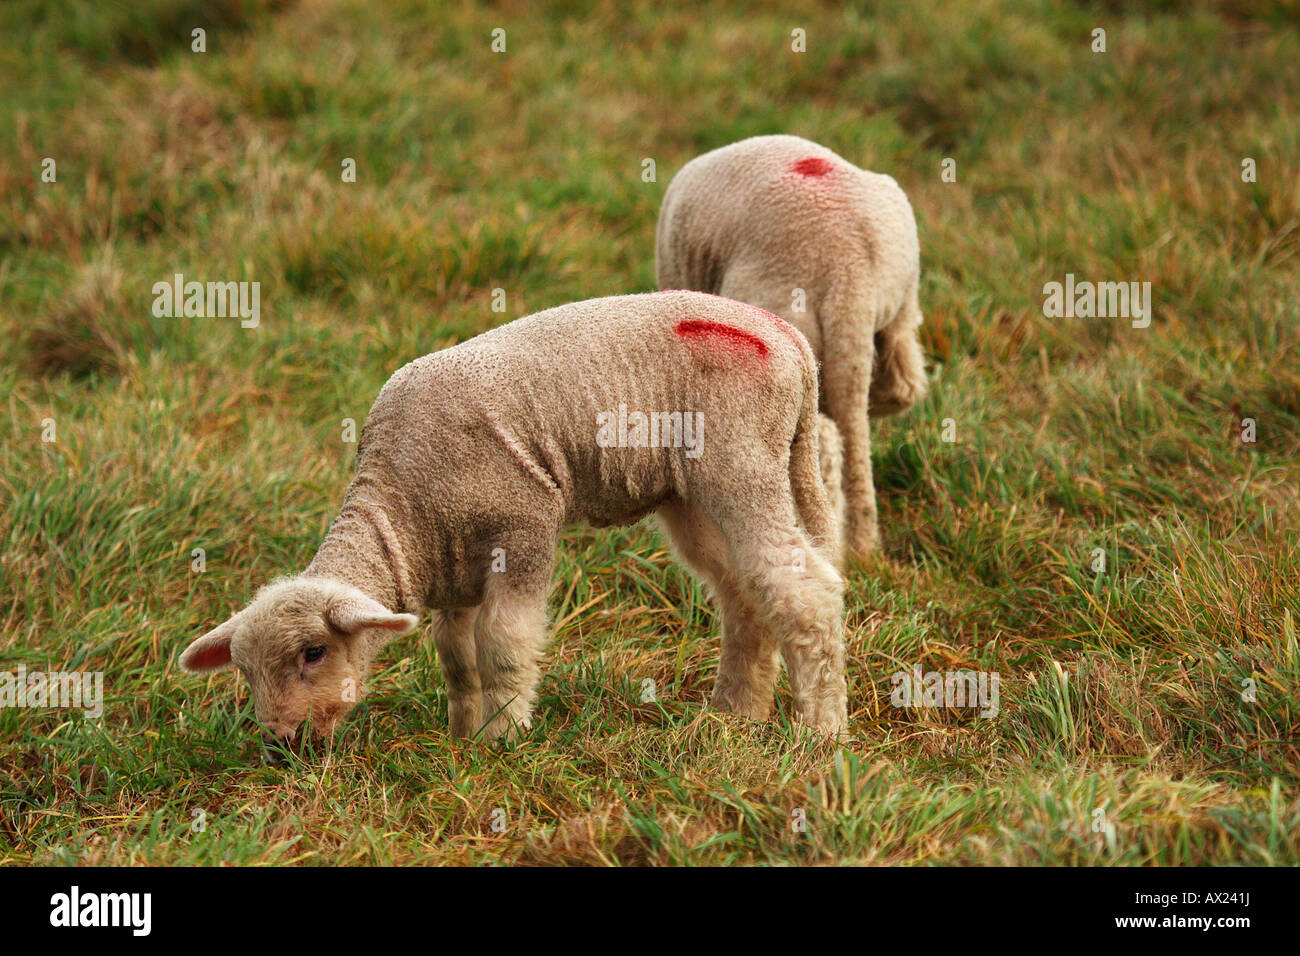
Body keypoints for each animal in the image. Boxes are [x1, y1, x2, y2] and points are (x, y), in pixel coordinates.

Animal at [180, 291, 852, 754]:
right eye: (244, 672)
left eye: (314, 653)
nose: (280, 744)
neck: (402, 509)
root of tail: (788, 341)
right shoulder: (453, 567)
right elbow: (456, 656)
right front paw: (461, 738)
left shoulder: (523, 524)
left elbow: (502, 643)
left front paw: (504, 741)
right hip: (692, 491)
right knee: (744, 593)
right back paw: (734, 715)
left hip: (743, 459)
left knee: (805, 592)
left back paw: (820, 735)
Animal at [655, 130, 930, 556]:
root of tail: (847, 263)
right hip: (899, 303)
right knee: (902, 385)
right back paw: (861, 541)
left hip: (775, 312)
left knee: (825, 441)